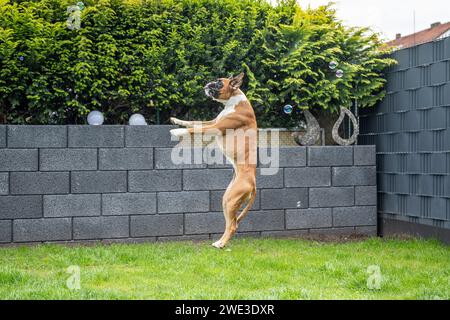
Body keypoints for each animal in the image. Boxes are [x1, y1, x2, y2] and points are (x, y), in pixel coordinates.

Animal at [171, 74, 258, 249]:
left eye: (219, 83)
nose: (207, 84)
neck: (232, 101)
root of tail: (253, 184)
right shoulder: (212, 122)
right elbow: (194, 122)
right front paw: (176, 120)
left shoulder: (215, 126)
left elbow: (194, 129)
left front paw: (177, 131)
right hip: (226, 200)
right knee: (231, 223)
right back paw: (220, 241)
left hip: (231, 201)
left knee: (232, 225)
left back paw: (221, 244)